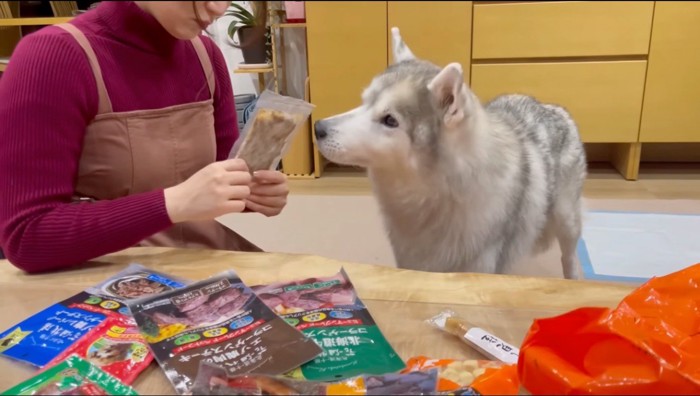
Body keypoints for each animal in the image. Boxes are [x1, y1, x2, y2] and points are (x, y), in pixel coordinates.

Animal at [314, 27, 588, 278]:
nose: (317, 128)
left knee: (570, 256)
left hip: (566, 219)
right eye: (363, 102)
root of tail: (549, 106)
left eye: (390, 120)